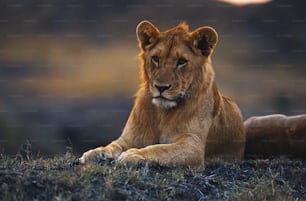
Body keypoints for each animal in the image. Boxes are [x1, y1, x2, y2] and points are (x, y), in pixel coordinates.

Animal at [79, 20, 246, 168]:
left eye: (181, 61)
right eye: (156, 58)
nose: (161, 87)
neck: (162, 113)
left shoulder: (193, 147)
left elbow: (161, 148)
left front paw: (134, 154)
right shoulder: (129, 138)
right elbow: (113, 145)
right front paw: (95, 153)